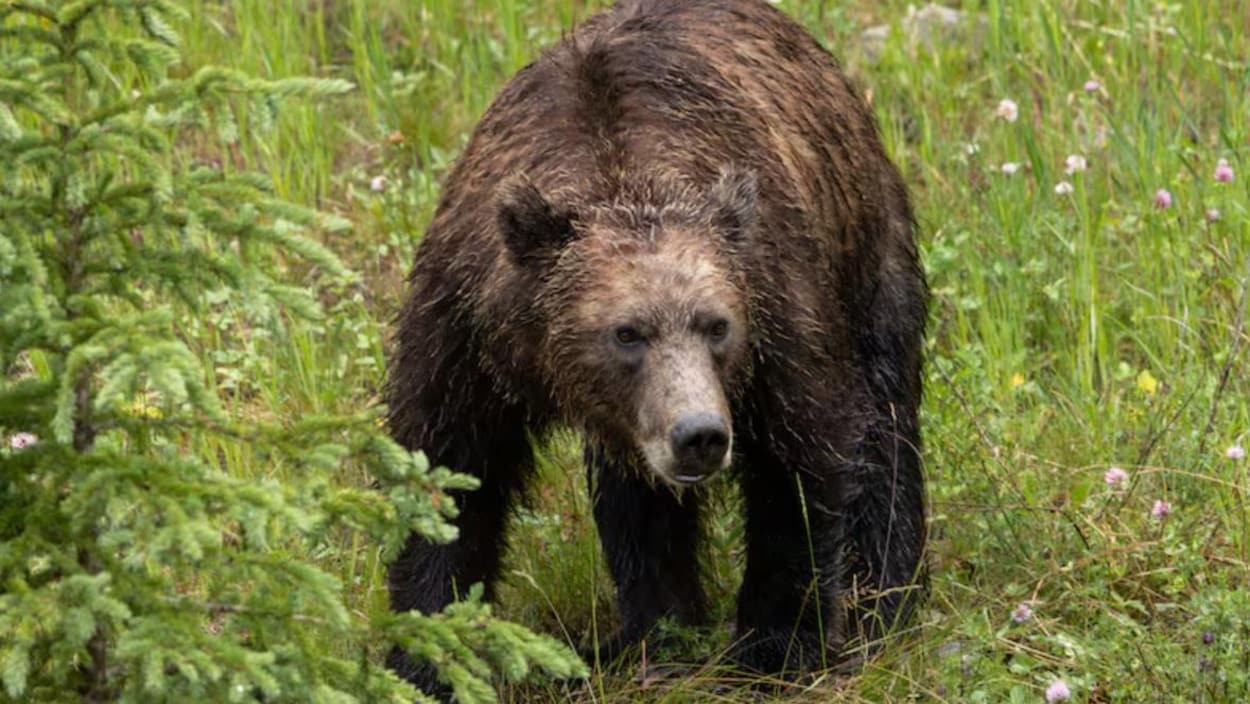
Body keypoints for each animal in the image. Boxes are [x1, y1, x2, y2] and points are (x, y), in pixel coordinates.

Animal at [384, 0, 928, 693]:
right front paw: (425, 657)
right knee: (633, 498)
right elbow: (450, 471)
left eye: (717, 325)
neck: (618, 170)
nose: (699, 434)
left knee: (886, 423)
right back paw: (649, 631)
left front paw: (777, 645)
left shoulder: (776, 304)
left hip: (866, 250)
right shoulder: (466, 329)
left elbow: (801, 463)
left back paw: (885, 598)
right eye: (627, 333)